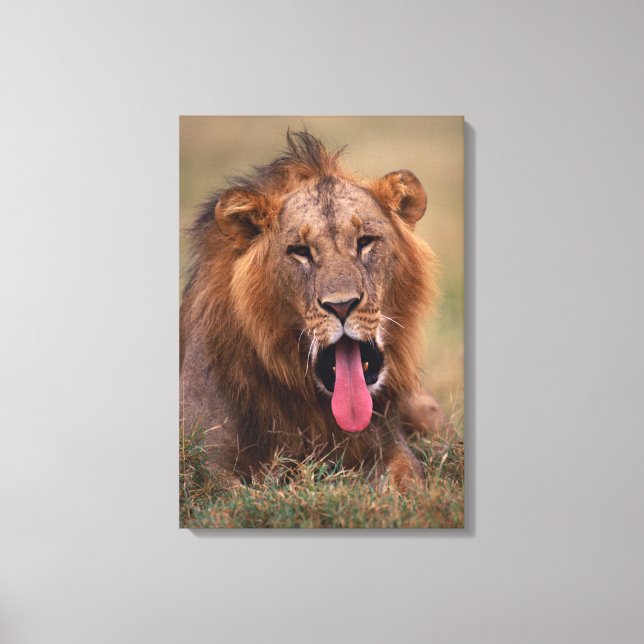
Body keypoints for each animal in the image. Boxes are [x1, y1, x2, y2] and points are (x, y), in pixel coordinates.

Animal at [180, 130, 439, 489]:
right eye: (300, 251)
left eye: (365, 241)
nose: (342, 305)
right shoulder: (203, 462)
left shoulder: (389, 442)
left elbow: (409, 477)